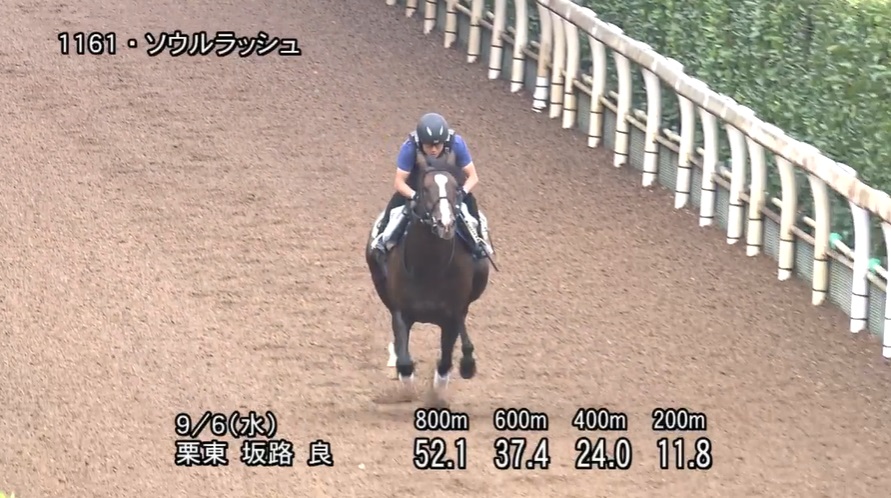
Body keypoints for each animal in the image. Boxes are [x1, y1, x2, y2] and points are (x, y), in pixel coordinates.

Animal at [365, 156, 490, 407]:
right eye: (424, 189)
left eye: (456, 189)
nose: (445, 223)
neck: (429, 268)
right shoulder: (401, 312)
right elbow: (405, 361)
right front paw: (407, 389)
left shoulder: (451, 316)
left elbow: (446, 361)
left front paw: (440, 392)